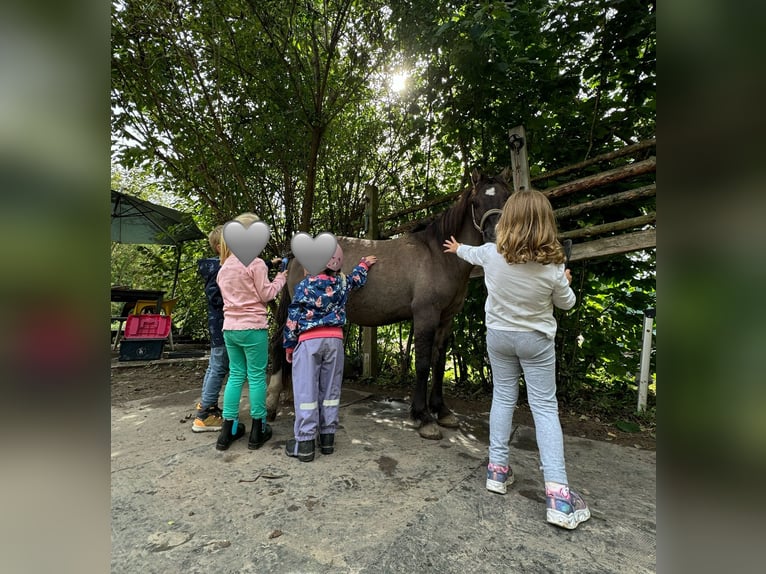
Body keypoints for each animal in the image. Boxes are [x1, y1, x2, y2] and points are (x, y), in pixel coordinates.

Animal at [268, 170, 512, 440]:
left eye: (507, 196)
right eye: (476, 203)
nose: (496, 236)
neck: (438, 255)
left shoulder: (446, 319)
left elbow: (438, 363)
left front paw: (442, 411)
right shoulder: (425, 315)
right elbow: (423, 363)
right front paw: (423, 417)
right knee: (279, 345)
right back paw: (271, 405)